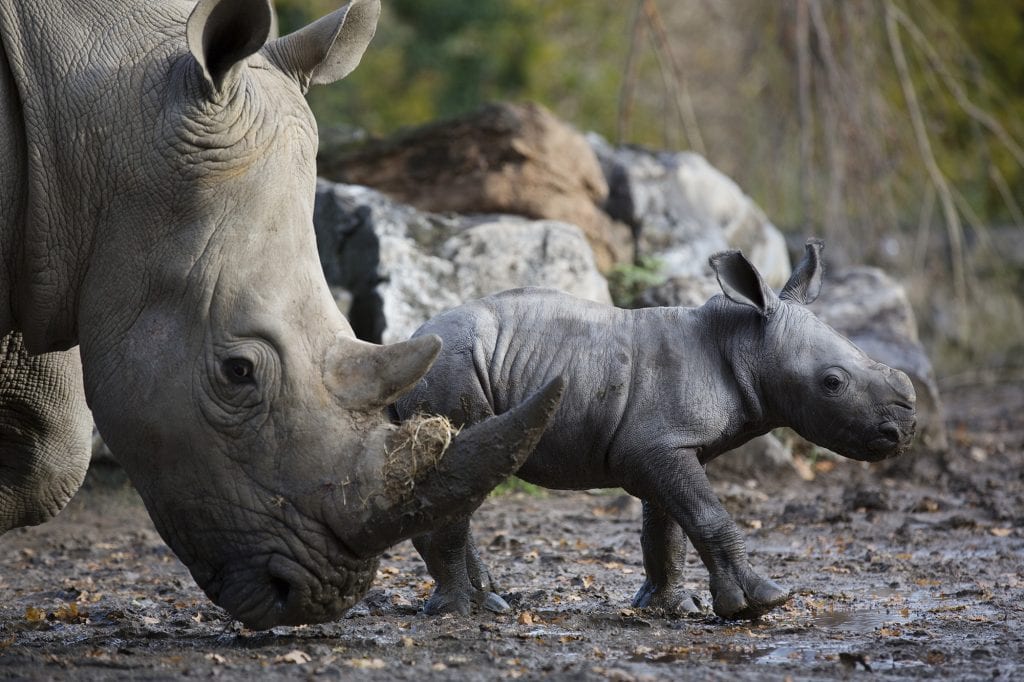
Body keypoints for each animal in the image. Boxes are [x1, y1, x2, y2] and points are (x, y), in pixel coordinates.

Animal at [395, 241, 917, 618]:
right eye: (833, 382)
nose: (905, 430)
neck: (745, 341)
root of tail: (412, 338)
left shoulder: (665, 443)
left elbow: (667, 529)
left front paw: (672, 608)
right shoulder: (658, 446)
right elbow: (708, 515)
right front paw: (759, 603)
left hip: (451, 366)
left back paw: (488, 603)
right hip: (453, 368)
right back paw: (459, 612)